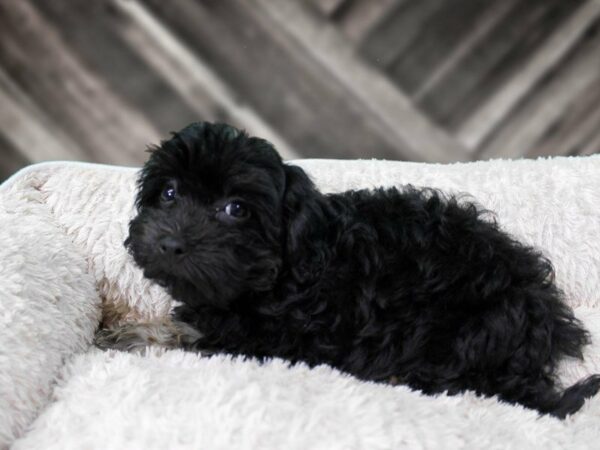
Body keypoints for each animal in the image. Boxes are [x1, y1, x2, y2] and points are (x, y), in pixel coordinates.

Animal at [98, 122, 600, 418]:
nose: (170, 242)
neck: (284, 273)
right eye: (168, 193)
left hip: (465, 328)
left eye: (235, 209)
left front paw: (136, 336)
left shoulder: (277, 341)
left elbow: (192, 337)